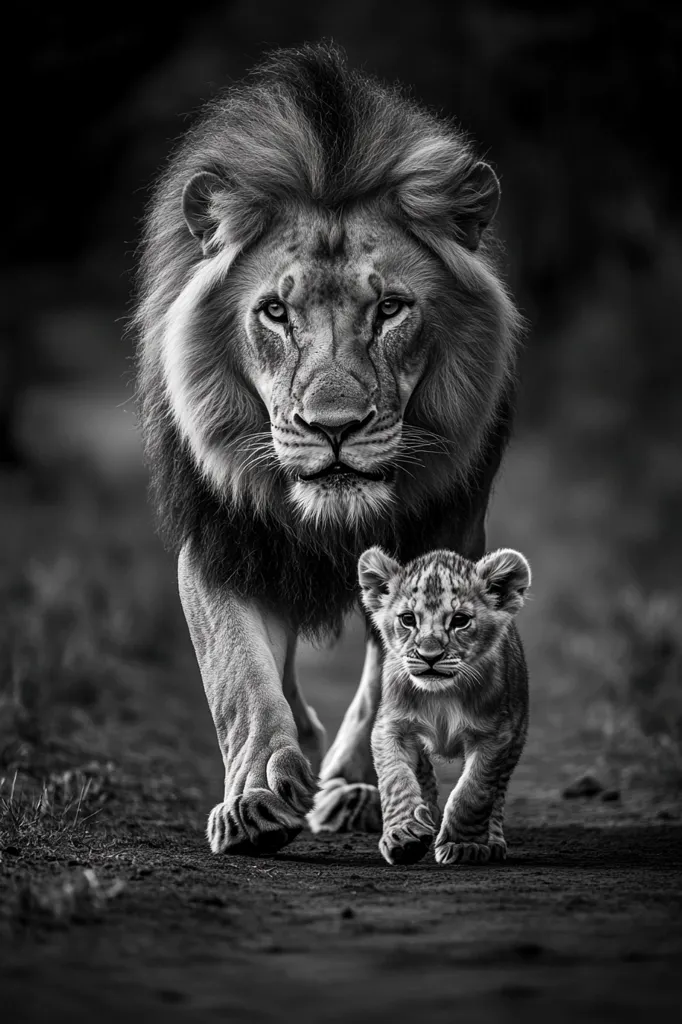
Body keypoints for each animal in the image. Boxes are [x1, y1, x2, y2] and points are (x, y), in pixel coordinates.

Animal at [135, 42, 523, 854]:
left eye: (391, 308)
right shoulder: (222, 536)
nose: (334, 426)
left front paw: (367, 783)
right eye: (275, 312)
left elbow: (394, 673)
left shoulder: (446, 531)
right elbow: (240, 677)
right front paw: (257, 793)